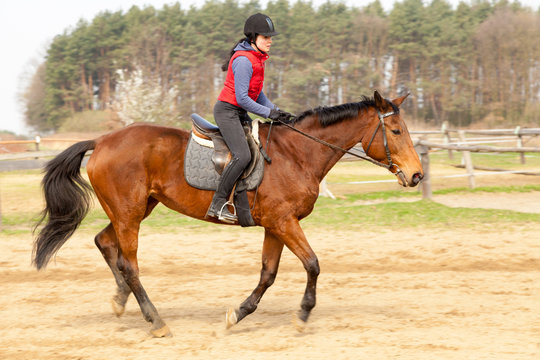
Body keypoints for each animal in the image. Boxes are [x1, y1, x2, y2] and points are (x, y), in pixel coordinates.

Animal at [32, 90, 422, 338]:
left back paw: (120, 300)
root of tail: (101, 141)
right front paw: (302, 315)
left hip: (136, 209)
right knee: (129, 263)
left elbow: (268, 274)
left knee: (105, 243)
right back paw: (155, 321)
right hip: (129, 213)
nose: (416, 175)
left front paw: (237, 314)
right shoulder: (284, 222)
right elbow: (312, 264)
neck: (298, 154)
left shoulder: (275, 225)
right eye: (395, 130)